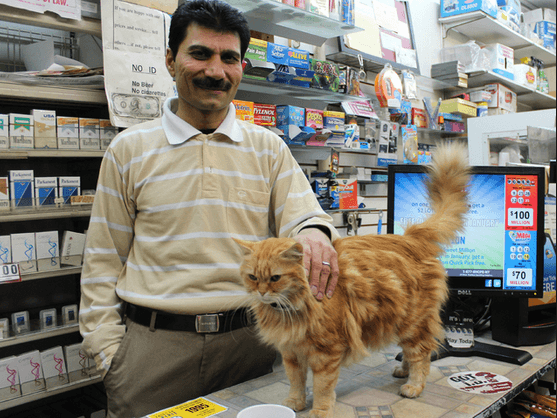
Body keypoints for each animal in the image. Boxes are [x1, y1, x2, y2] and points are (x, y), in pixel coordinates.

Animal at [235, 145, 470, 418]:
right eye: (253, 277)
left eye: (275, 278)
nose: (261, 293)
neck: (292, 307)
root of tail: (411, 238)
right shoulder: (291, 353)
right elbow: (295, 382)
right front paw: (294, 403)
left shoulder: (326, 353)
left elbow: (322, 388)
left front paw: (319, 410)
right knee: (412, 353)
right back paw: (403, 372)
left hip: (412, 323)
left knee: (421, 354)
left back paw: (413, 385)